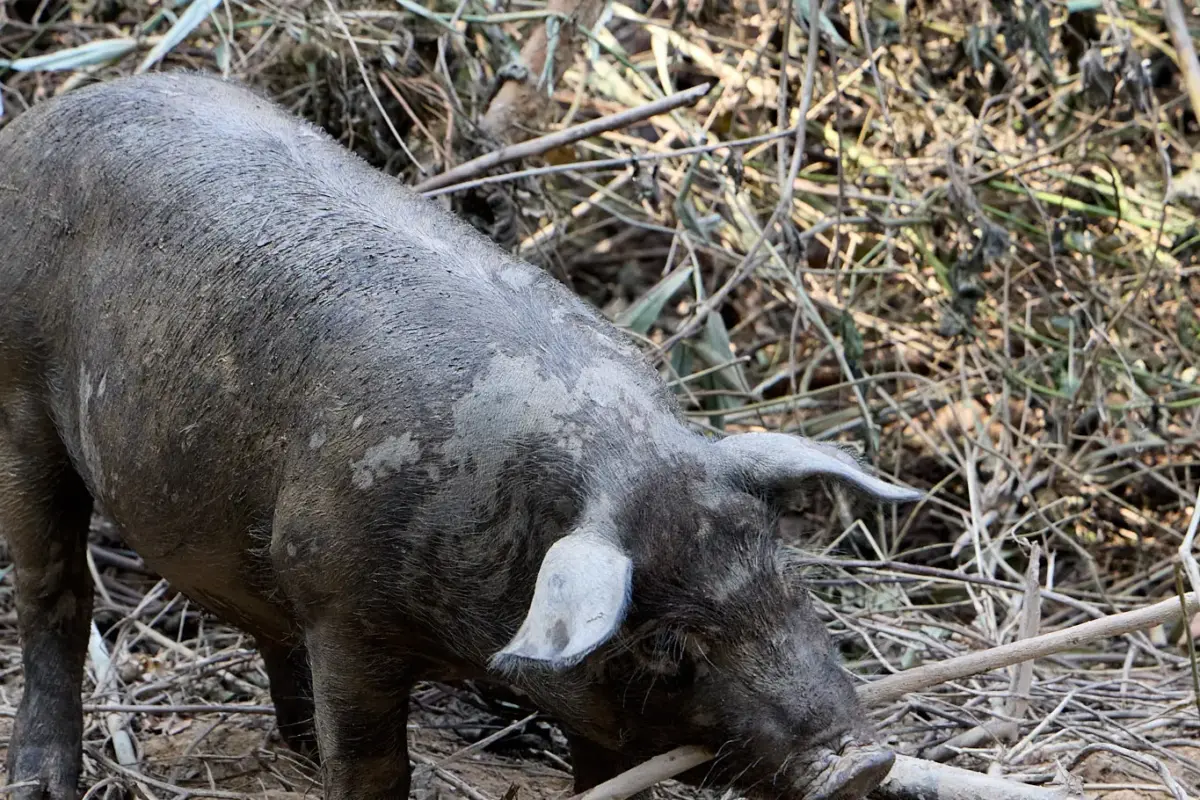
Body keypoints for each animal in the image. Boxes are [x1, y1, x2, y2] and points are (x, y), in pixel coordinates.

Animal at [0, 71, 921, 800]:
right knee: (54, 595)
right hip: (21, 402)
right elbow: (372, 766)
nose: (861, 765)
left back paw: (294, 751)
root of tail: (40, 117)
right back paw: (44, 781)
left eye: (788, 577)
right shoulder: (342, 606)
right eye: (665, 642)